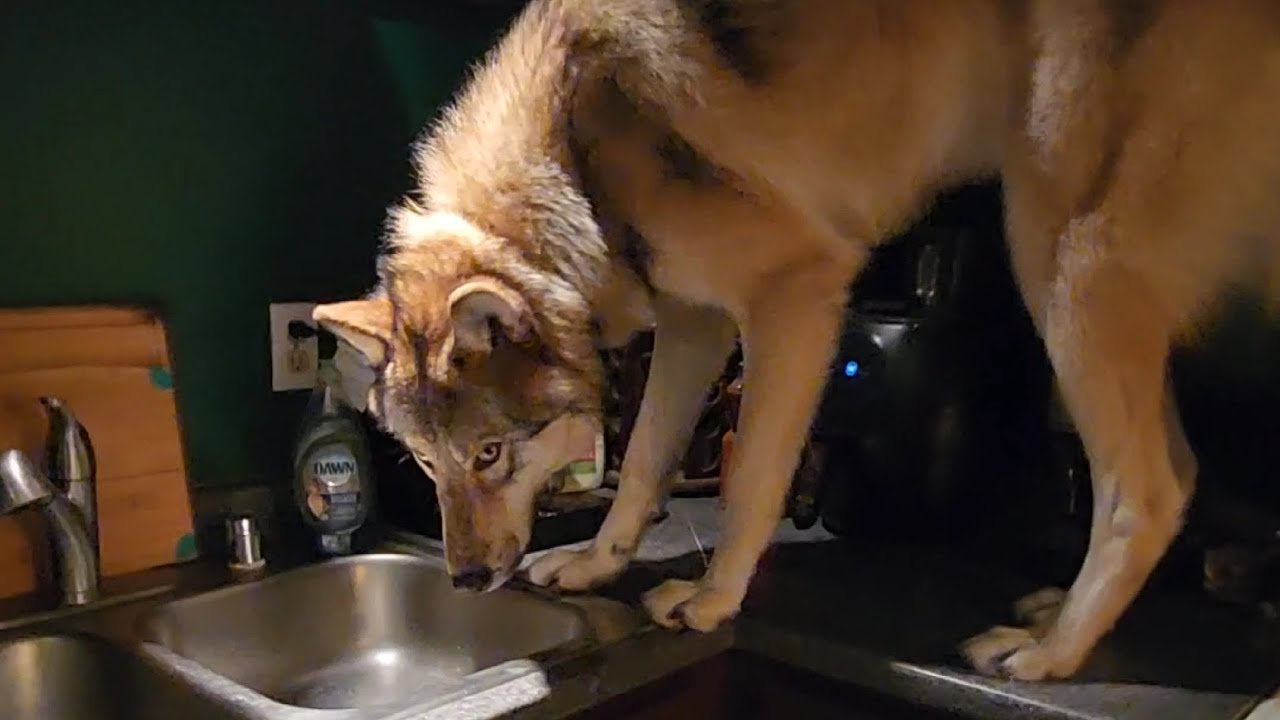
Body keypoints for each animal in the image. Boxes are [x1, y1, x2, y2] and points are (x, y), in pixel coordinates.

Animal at [313, 0, 1280, 680]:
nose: (465, 583)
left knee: (1144, 491)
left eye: (488, 454)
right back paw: (1064, 616)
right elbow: (645, 462)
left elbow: (750, 487)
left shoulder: (795, 297)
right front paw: (595, 564)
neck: (575, 158)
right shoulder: (695, 322)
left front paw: (710, 603)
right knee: (1178, 473)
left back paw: (1048, 656)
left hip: (1058, 263)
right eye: (426, 463)